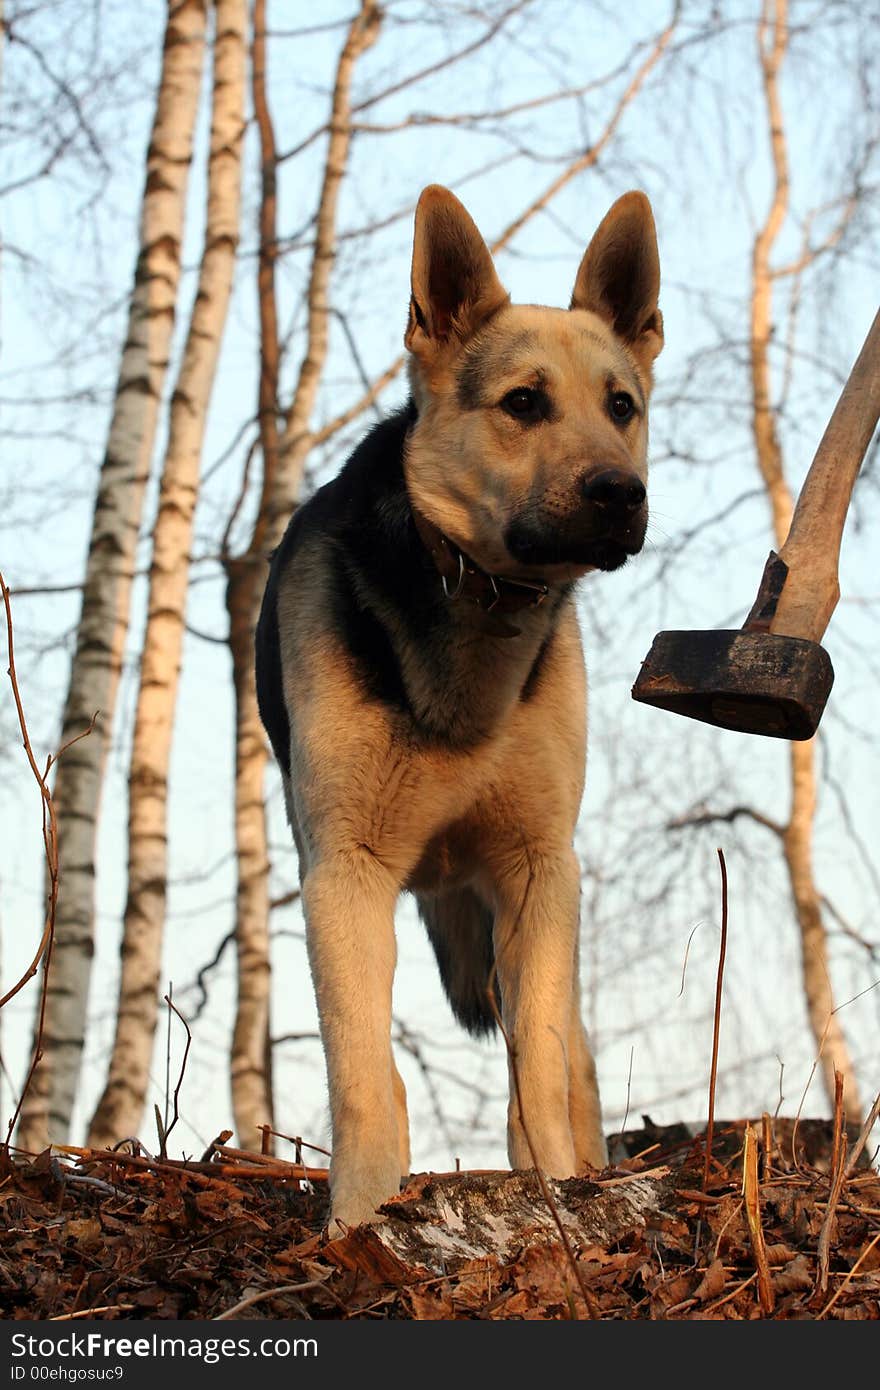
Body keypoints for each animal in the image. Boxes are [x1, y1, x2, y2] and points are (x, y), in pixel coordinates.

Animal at [254, 184, 658, 1228]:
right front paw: (357, 1223)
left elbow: (541, 1069)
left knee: (569, 1053)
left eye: (623, 407)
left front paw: (558, 1189)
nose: (622, 494)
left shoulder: (539, 870)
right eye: (523, 403)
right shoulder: (345, 874)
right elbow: (364, 1075)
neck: (475, 600)